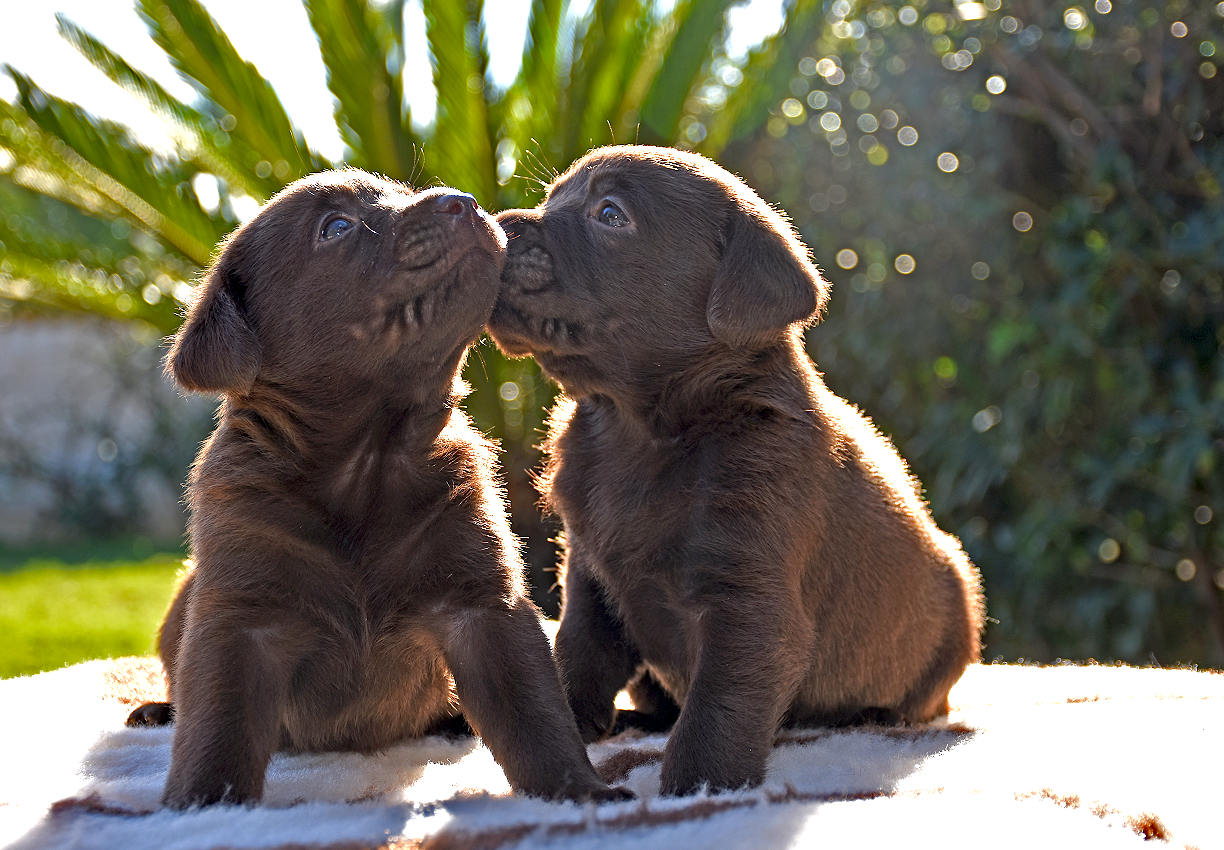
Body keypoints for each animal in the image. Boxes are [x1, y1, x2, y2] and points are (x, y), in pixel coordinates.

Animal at [487, 145, 984, 798]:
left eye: (610, 214)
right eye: (551, 199)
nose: (494, 225)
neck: (639, 432)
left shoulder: (750, 601)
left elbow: (718, 710)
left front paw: (696, 789)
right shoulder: (590, 577)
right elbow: (576, 657)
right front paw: (568, 737)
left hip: (955, 607)